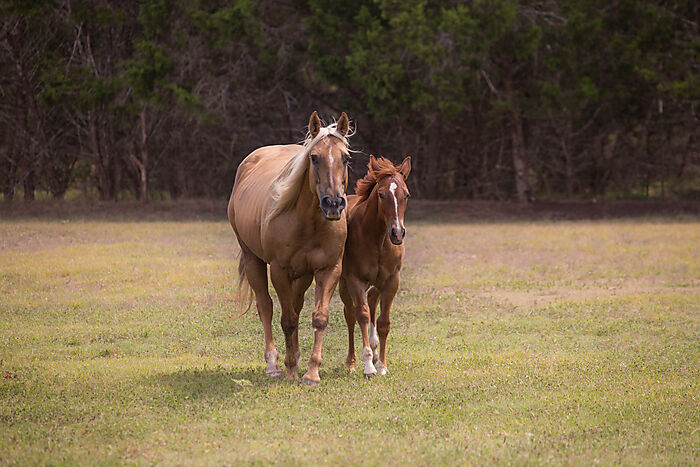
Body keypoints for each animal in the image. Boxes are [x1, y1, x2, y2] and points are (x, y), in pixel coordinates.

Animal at [227, 111, 351, 385]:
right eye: (314, 157)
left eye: (346, 158)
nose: (333, 203)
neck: (308, 222)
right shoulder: (279, 271)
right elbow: (287, 319)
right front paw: (291, 369)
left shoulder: (329, 270)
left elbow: (318, 318)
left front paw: (311, 372)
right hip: (253, 261)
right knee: (266, 307)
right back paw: (274, 364)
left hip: (302, 275)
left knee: (295, 305)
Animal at [339, 154, 411, 377]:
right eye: (381, 194)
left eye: (406, 195)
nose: (397, 233)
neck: (378, 239)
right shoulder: (355, 280)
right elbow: (361, 316)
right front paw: (369, 366)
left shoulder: (391, 281)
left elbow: (383, 322)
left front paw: (382, 365)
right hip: (343, 283)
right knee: (350, 315)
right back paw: (352, 362)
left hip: (377, 283)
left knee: (371, 300)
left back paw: (374, 346)